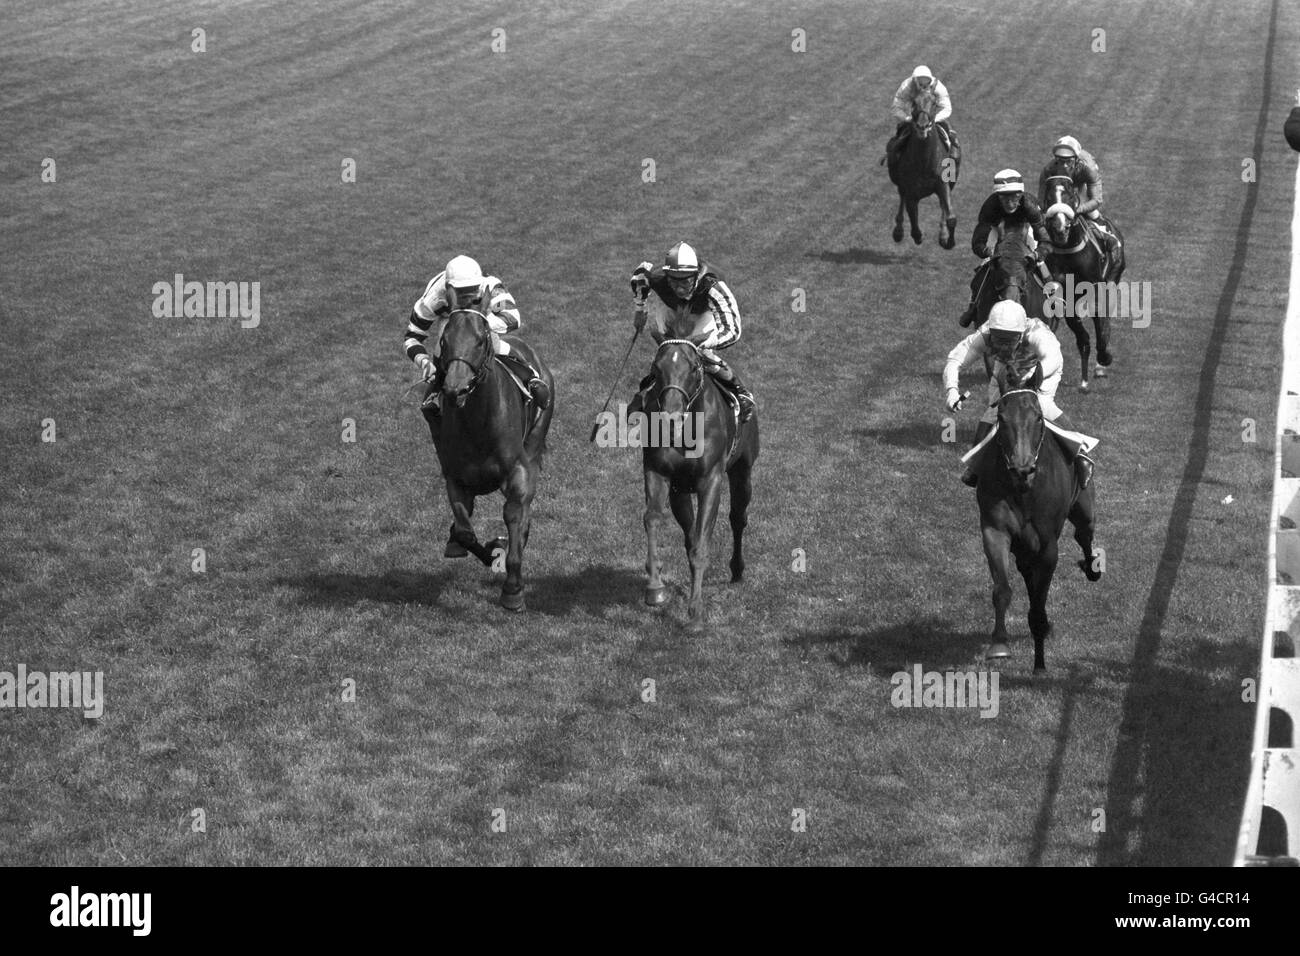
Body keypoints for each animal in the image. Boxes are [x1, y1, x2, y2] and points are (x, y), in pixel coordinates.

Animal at [423, 310, 551, 616]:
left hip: (537, 438)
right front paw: (492, 552)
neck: (479, 425)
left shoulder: (517, 473)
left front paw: (513, 590)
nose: (455, 389)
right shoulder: (456, 479)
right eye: (443, 341)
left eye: (481, 341)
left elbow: (515, 517)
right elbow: (465, 532)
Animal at [642, 335, 759, 629]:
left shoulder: (711, 480)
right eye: (656, 368)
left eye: (694, 368)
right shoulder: (658, 472)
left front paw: (695, 612)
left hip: (743, 471)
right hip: (680, 491)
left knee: (738, 518)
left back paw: (737, 569)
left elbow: (701, 546)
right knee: (689, 532)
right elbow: (652, 519)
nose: (670, 416)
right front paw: (655, 587)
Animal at [889, 88, 961, 251]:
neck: (925, 162)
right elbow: (913, 218)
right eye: (914, 102)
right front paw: (917, 236)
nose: (923, 126)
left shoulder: (943, 184)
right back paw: (898, 231)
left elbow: (951, 217)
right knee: (902, 199)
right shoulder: (910, 191)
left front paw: (948, 240)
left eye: (934, 103)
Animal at [972, 364, 1102, 671]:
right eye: (1001, 417)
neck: (1024, 491)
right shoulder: (995, 530)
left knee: (1084, 534)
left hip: (1083, 507)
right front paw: (999, 644)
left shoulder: (1047, 544)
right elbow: (1002, 588)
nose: (1023, 469)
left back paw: (1092, 567)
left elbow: (1039, 604)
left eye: (1038, 417)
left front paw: (1040, 662)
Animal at [1040, 167, 1123, 390]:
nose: (1060, 228)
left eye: (1069, 195)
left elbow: (1101, 328)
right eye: (1049, 197)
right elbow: (1080, 333)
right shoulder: (1064, 297)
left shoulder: (1096, 290)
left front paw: (1104, 358)